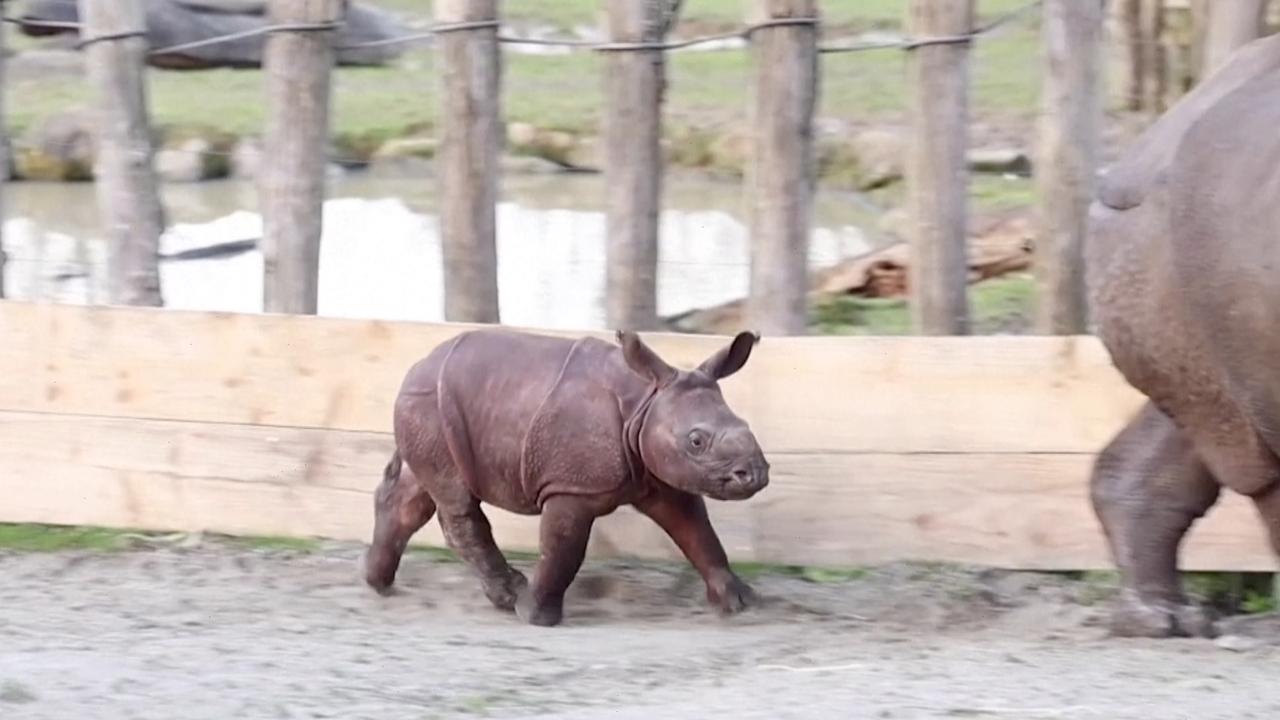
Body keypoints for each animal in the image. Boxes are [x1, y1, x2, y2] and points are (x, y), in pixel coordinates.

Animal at [366, 325, 773, 622]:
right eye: (696, 441)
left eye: (746, 425)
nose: (755, 474)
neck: (644, 402)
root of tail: (415, 367)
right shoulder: (571, 487)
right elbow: (563, 547)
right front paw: (535, 615)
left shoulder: (660, 478)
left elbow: (698, 533)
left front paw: (740, 603)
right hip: (430, 406)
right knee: (455, 496)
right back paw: (510, 596)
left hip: (431, 413)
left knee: (419, 491)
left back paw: (377, 583)